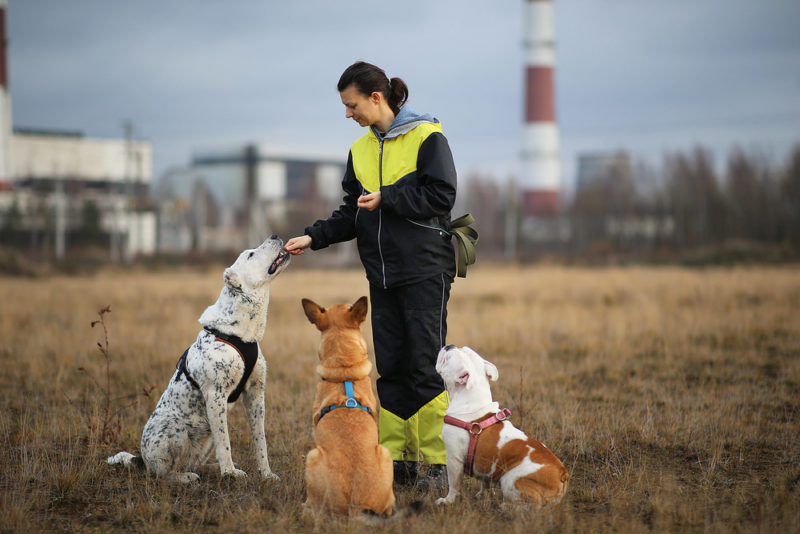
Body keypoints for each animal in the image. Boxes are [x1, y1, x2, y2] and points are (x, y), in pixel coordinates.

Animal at [107, 238, 290, 486]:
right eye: (251, 255)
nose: (275, 235)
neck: (242, 334)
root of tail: (141, 460)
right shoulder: (216, 395)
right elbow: (225, 443)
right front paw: (230, 474)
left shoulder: (255, 393)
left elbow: (260, 440)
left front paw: (266, 474)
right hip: (175, 429)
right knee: (163, 473)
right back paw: (187, 477)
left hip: (204, 437)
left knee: (195, 462)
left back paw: (211, 469)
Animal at [432, 346, 568, 508]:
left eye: (447, 358)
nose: (449, 346)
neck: (472, 400)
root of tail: (562, 474)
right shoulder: (485, 465)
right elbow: (485, 482)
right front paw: (481, 495)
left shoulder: (453, 458)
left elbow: (454, 484)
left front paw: (447, 501)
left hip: (510, 479)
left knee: (532, 505)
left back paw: (506, 507)